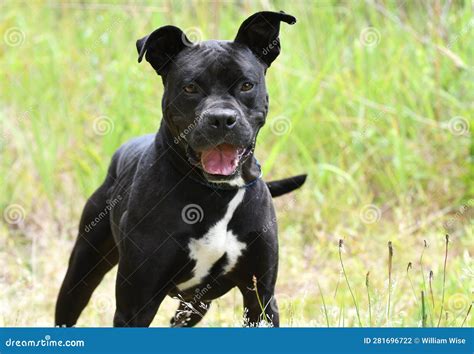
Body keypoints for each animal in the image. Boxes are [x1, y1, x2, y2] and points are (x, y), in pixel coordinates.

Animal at [55, 10, 306, 326]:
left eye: (247, 85)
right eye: (190, 87)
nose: (221, 119)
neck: (216, 193)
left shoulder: (260, 298)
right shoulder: (135, 305)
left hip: (195, 305)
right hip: (82, 270)